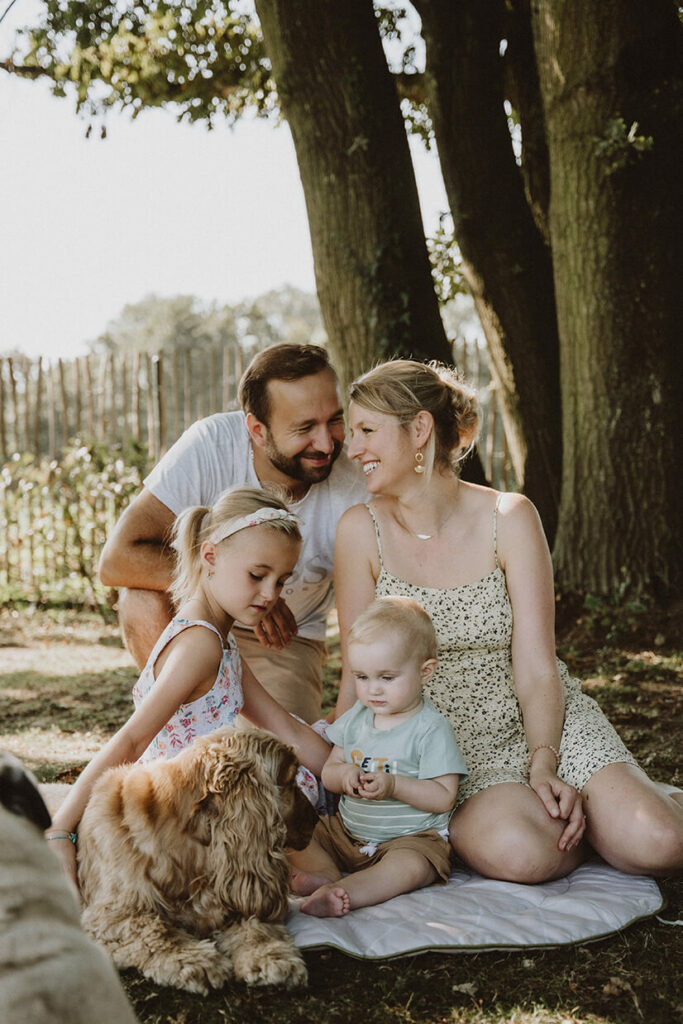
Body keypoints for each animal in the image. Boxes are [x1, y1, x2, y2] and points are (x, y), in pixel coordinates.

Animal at [77, 729, 317, 991]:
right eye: (291, 781)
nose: (317, 818)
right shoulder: (110, 916)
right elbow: (155, 930)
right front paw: (196, 960)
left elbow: (255, 925)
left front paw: (271, 956)